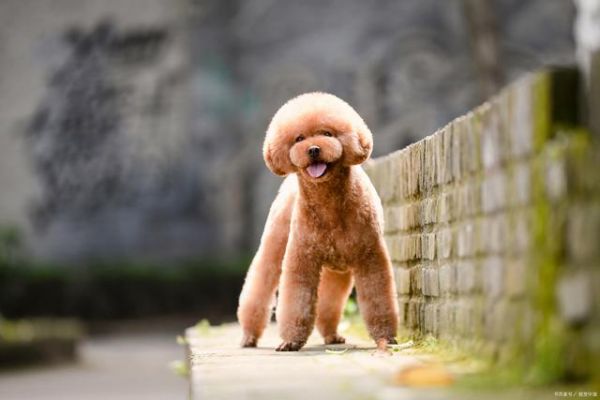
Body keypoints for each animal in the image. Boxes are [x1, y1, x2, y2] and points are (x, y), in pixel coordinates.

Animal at [237, 92, 398, 351]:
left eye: (327, 134)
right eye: (299, 138)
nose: (313, 149)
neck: (329, 205)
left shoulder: (370, 256)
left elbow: (378, 297)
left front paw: (386, 337)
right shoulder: (301, 258)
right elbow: (297, 298)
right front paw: (291, 341)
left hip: (338, 270)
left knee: (330, 301)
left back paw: (332, 335)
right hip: (276, 242)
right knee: (260, 282)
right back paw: (249, 336)